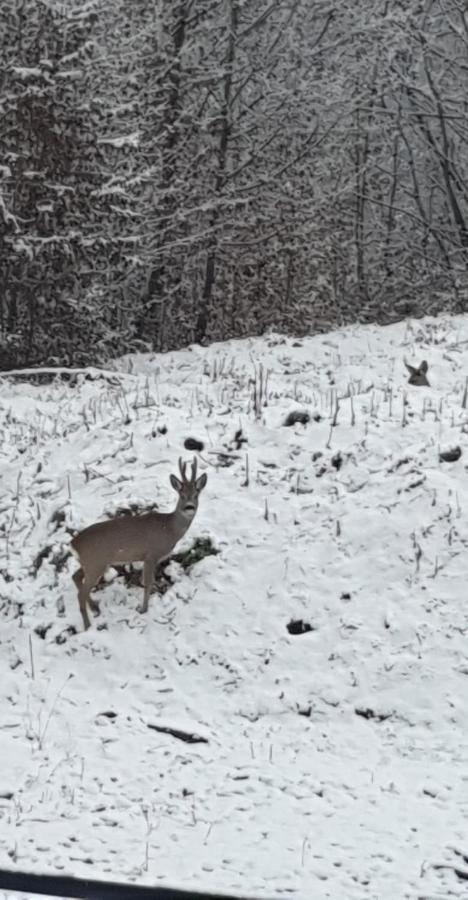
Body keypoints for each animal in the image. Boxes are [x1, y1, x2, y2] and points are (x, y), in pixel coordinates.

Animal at [71, 460, 207, 628]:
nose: (189, 507)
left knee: (75, 577)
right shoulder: (151, 555)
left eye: (196, 495)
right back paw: (88, 625)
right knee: (80, 593)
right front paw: (143, 610)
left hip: (91, 563)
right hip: (95, 563)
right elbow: (147, 582)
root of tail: (73, 543)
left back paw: (95, 607)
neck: (169, 529)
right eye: (181, 495)